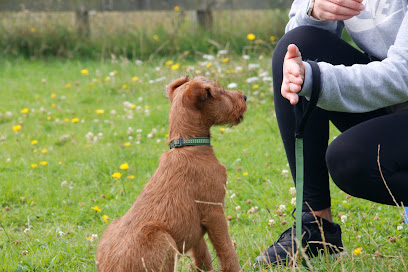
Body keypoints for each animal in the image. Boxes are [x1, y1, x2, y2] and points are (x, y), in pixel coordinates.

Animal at [96, 75, 245, 270]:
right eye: (218, 91)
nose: (244, 97)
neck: (188, 144)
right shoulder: (214, 211)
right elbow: (228, 252)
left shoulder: (195, 227)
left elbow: (203, 255)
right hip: (163, 238)